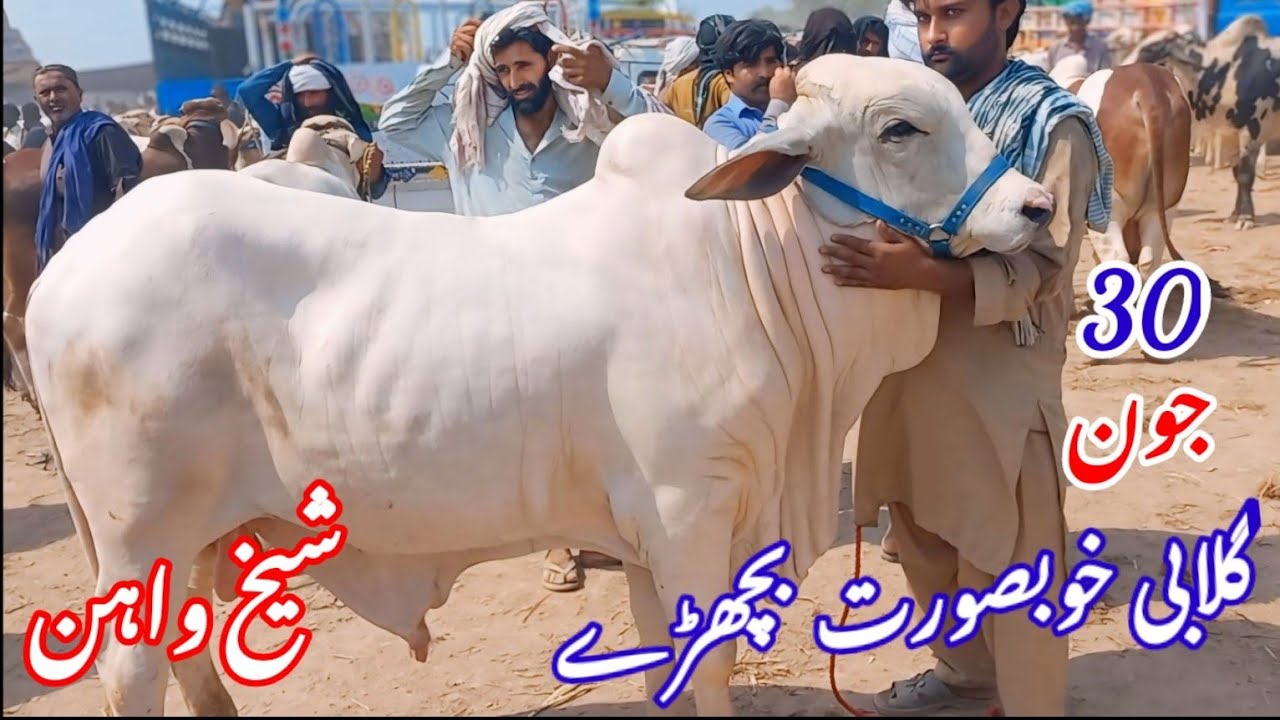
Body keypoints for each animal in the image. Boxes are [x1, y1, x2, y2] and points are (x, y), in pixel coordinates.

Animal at [21, 54, 1053, 717]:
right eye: (901, 128)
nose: (1038, 206)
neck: (747, 261)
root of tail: (61, 272)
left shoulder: (646, 535)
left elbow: (665, 666)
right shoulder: (688, 511)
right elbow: (707, 668)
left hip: (200, 534)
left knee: (191, 657)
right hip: (139, 534)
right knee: (133, 671)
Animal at [1134, 14, 1280, 229]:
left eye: (1150, 49)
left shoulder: (1252, 130)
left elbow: (1245, 176)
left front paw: (1245, 217)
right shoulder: (1232, 132)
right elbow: (1237, 173)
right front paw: (1234, 214)